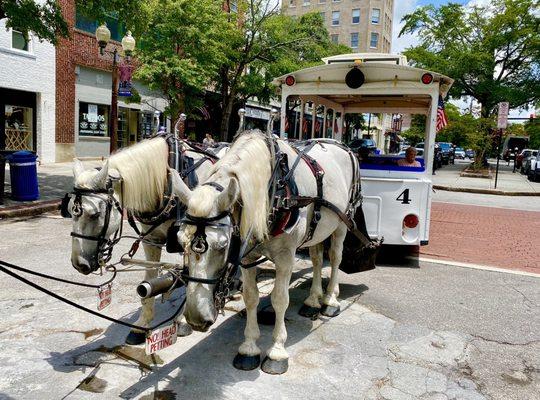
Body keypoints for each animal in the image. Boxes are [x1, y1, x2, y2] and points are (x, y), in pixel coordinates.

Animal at [69, 136, 219, 346]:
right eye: (69, 210)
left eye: (95, 214)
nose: (78, 264)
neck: (165, 182)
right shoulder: (150, 240)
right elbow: (149, 278)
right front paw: (142, 325)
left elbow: (188, 275)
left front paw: (181, 321)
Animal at [171, 130, 360, 374]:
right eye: (180, 242)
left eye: (222, 245)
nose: (195, 317)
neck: (274, 193)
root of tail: (341, 145)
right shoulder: (247, 256)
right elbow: (251, 297)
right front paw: (249, 348)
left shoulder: (286, 257)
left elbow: (280, 299)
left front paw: (277, 351)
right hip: (318, 229)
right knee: (317, 259)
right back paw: (312, 301)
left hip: (341, 224)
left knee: (336, 258)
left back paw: (330, 300)